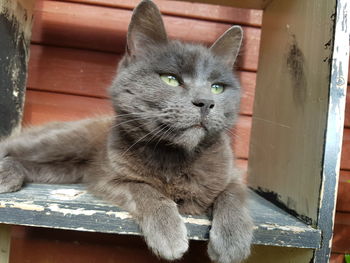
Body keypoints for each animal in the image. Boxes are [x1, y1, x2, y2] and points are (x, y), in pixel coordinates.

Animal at [0, 1, 252, 262]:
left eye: (217, 88)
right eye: (170, 79)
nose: (205, 102)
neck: (175, 155)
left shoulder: (230, 172)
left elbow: (233, 193)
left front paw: (232, 242)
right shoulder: (107, 177)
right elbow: (142, 188)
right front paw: (168, 234)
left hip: (66, 169)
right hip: (61, 142)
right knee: (10, 146)